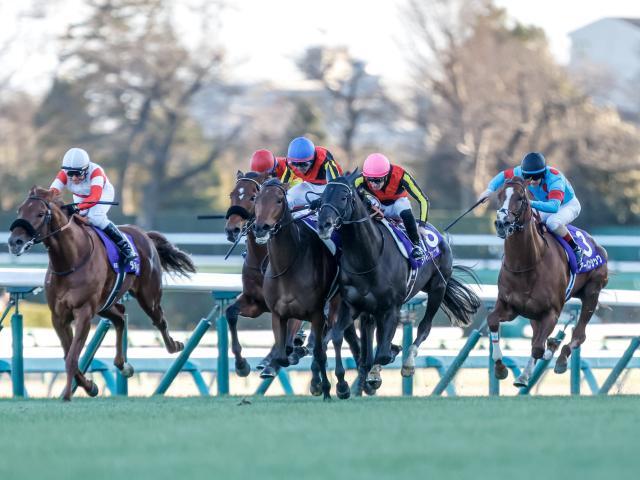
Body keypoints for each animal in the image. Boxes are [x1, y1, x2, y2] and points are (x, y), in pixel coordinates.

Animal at [8, 188, 195, 402]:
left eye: (40, 213)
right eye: (19, 210)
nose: (14, 242)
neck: (70, 260)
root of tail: (144, 234)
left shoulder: (84, 311)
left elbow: (72, 357)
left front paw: (67, 395)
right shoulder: (59, 316)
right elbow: (68, 354)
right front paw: (90, 386)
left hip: (148, 296)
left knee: (159, 320)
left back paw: (175, 346)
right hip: (105, 304)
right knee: (120, 317)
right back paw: (123, 365)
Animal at [251, 178, 350, 400]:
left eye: (279, 200)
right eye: (256, 200)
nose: (261, 228)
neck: (287, 266)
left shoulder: (316, 313)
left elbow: (320, 352)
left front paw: (327, 389)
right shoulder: (278, 314)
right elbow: (282, 354)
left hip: (335, 303)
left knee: (334, 340)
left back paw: (340, 385)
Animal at [318, 174, 482, 392]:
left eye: (344, 197)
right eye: (322, 196)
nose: (323, 225)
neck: (368, 258)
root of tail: (439, 235)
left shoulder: (392, 307)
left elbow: (384, 352)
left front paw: (383, 363)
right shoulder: (353, 305)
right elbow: (337, 336)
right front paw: (344, 384)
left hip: (438, 288)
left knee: (424, 327)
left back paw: (408, 363)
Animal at [488, 176, 608, 386]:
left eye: (521, 198)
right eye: (500, 196)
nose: (502, 223)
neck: (526, 265)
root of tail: (597, 245)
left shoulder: (551, 312)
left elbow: (538, 348)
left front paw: (549, 351)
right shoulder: (509, 306)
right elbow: (493, 321)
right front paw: (500, 368)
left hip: (592, 292)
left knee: (579, 335)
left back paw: (560, 357)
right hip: (534, 315)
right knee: (539, 339)